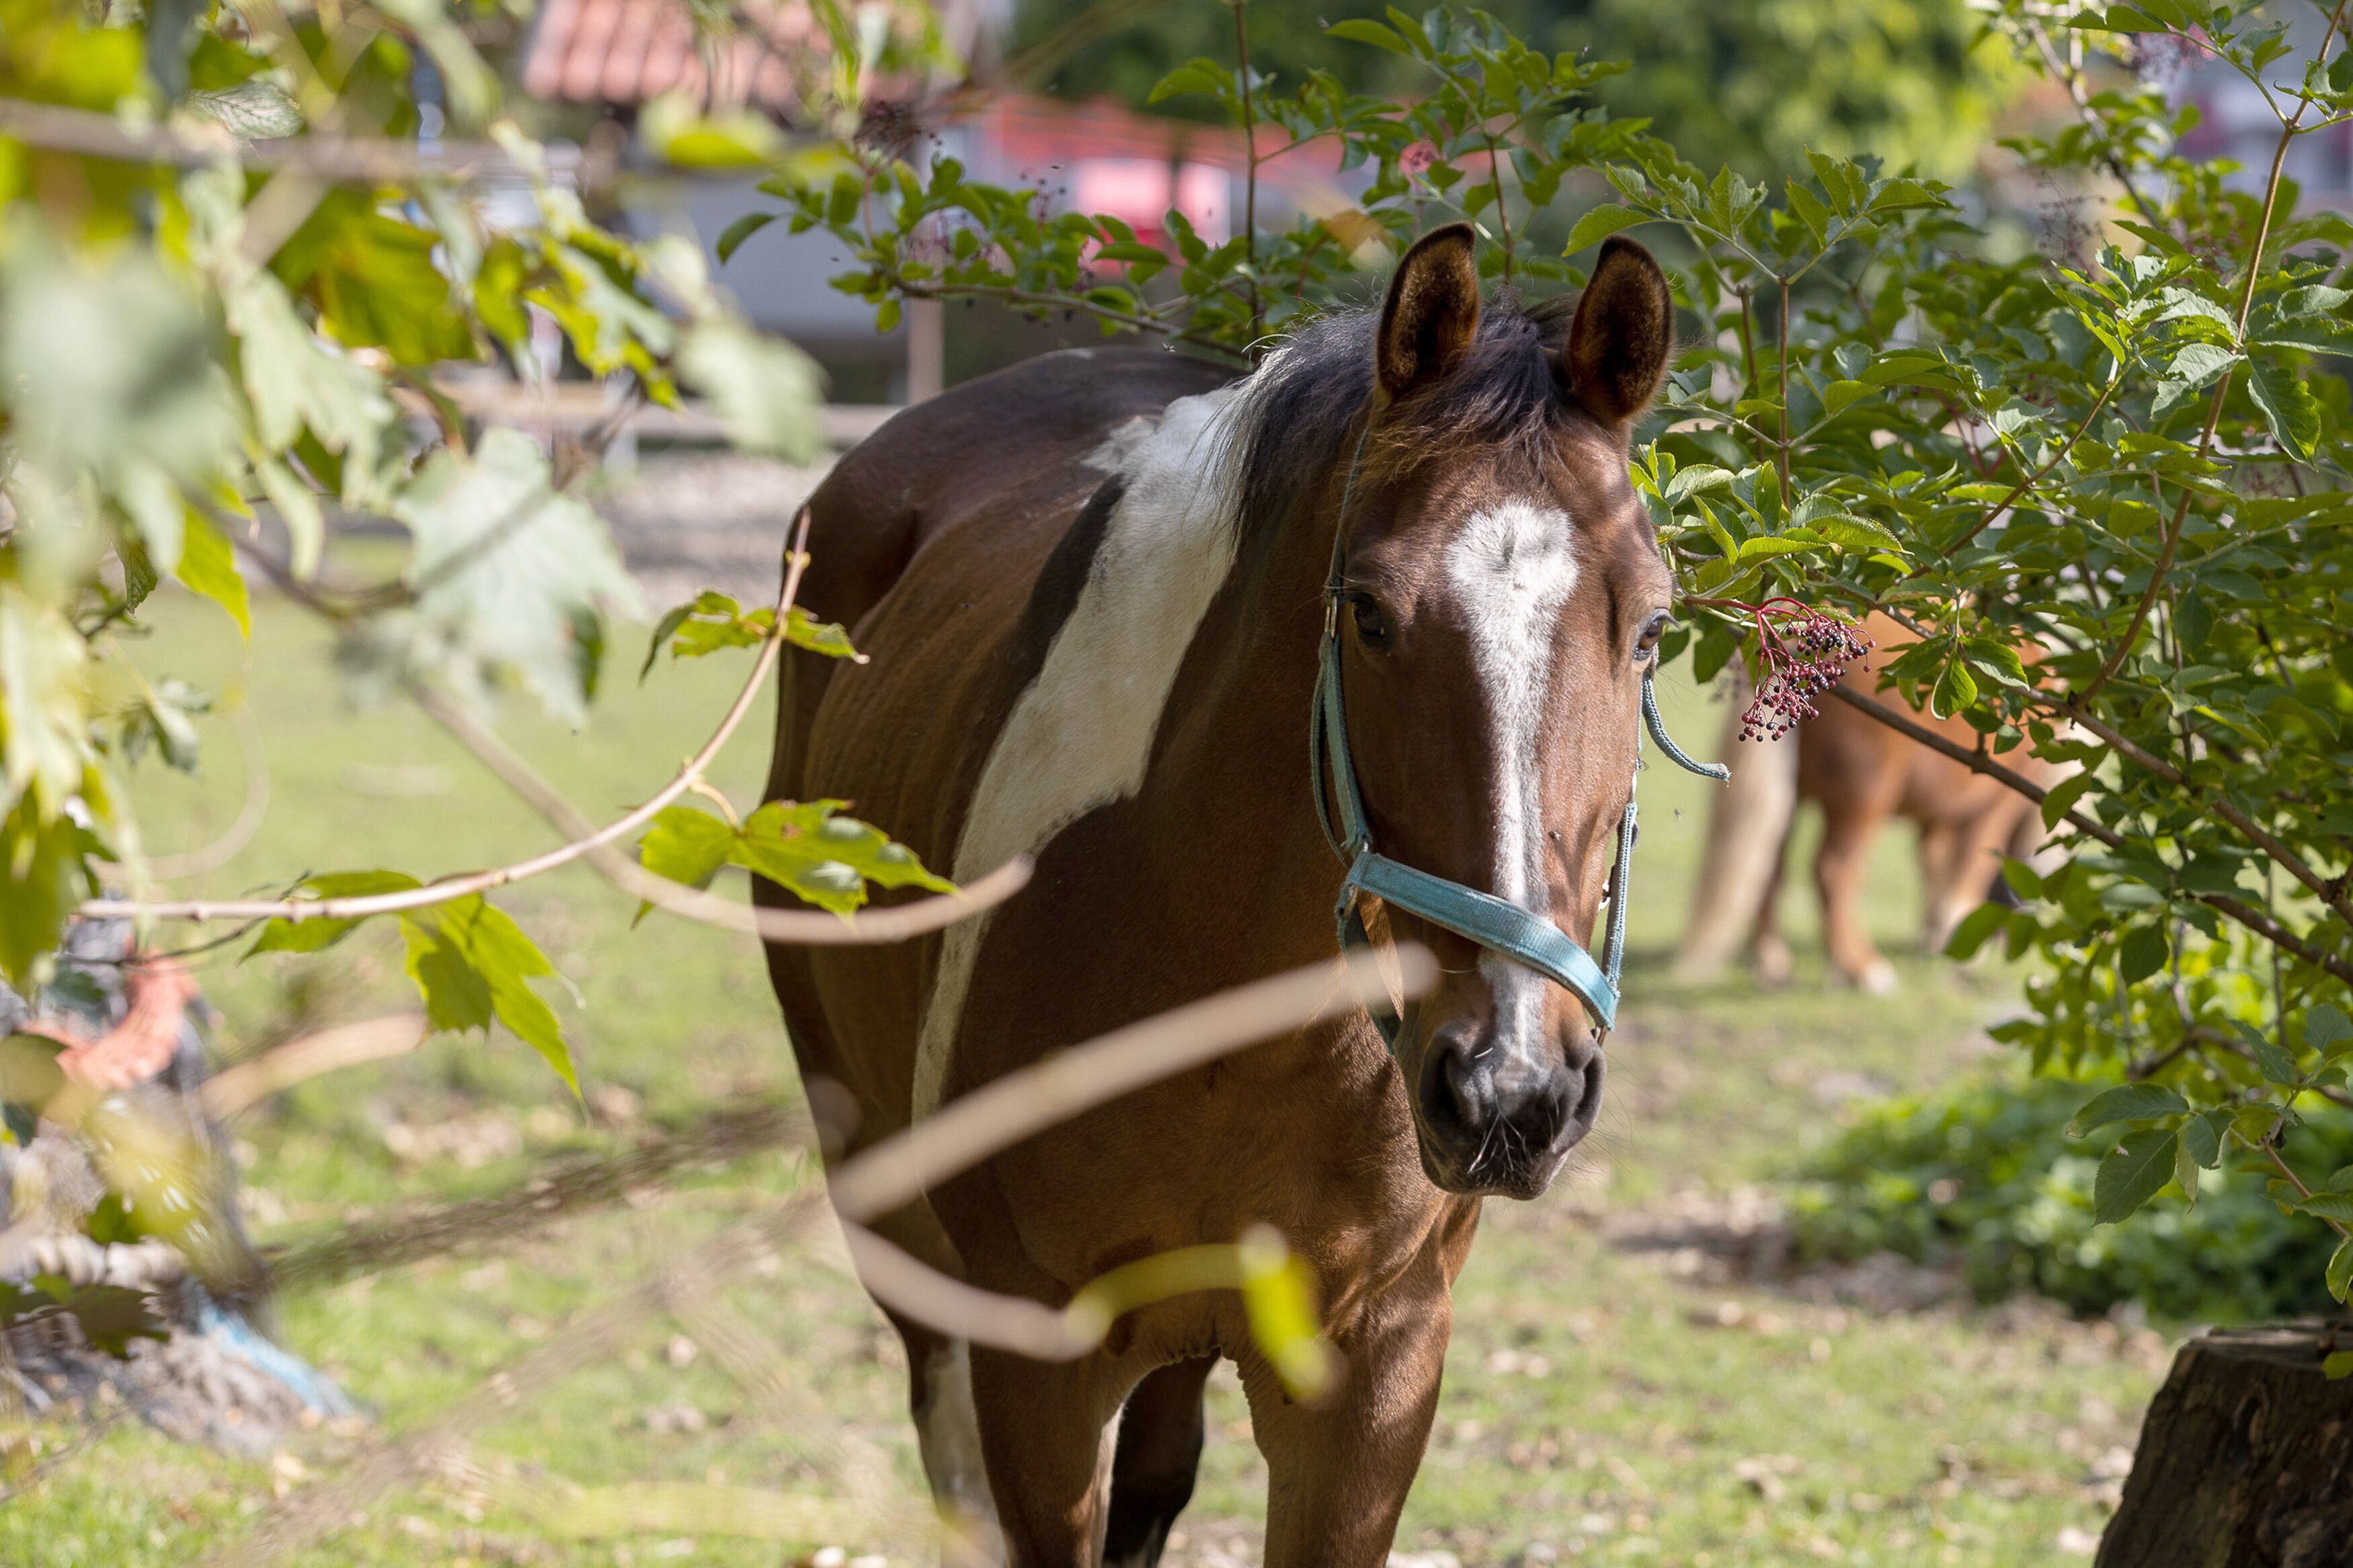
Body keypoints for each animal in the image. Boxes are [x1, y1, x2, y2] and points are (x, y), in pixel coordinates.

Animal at [1672, 620, 2070, 993]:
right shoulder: (1995, 807)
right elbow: (1968, 871)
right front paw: (1953, 935)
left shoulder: (1938, 814)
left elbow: (1933, 863)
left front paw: (1933, 933)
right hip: (1863, 801)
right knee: (1833, 871)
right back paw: (1861, 969)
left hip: (1789, 797)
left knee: (1769, 868)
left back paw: (1772, 964)